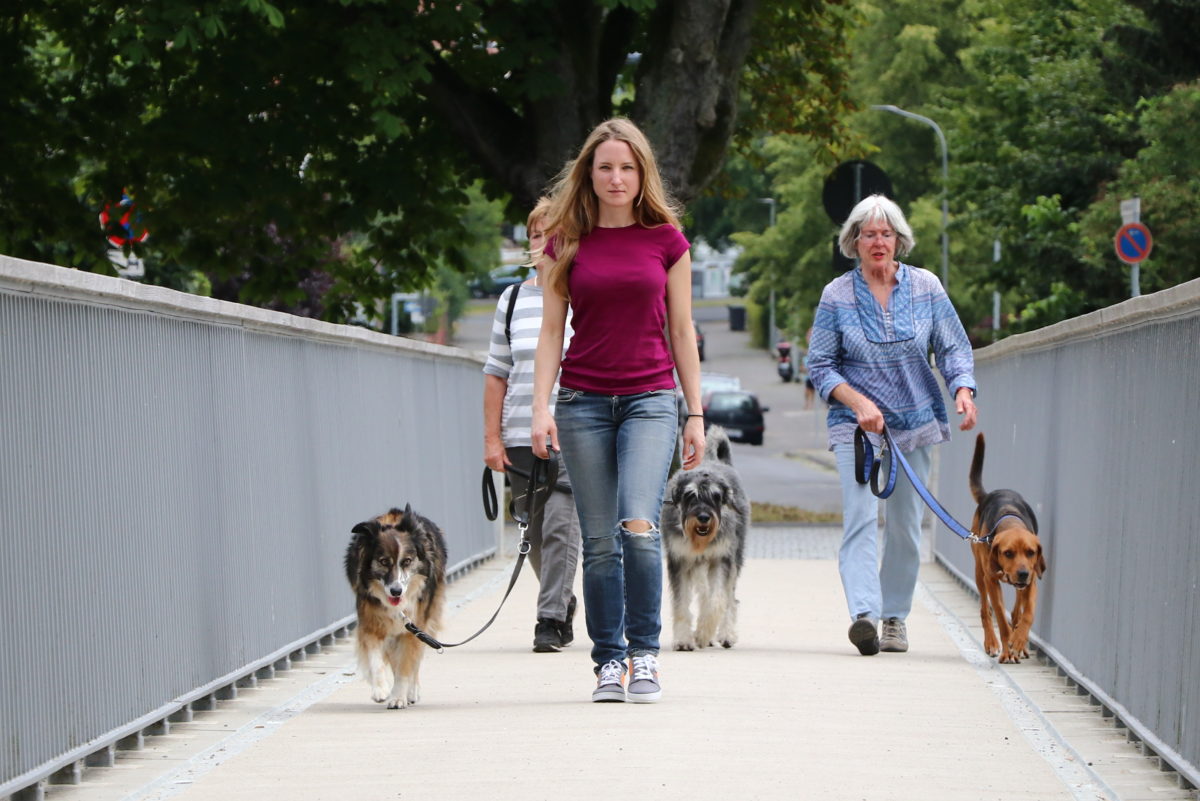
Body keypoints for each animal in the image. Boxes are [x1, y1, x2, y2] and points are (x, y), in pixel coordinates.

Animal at [662, 424, 744, 652]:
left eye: (716, 496)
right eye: (690, 495)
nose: (704, 517)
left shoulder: (722, 559)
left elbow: (717, 601)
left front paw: (702, 634)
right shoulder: (679, 561)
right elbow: (681, 603)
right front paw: (683, 640)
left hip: (734, 559)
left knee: (729, 599)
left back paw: (725, 635)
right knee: (704, 592)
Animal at [969, 431, 1046, 661]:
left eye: (1031, 552)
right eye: (1008, 553)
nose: (1022, 573)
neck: (1010, 519)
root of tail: (988, 495)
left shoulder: (1032, 581)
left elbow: (1027, 614)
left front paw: (1019, 641)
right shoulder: (992, 581)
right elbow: (1001, 619)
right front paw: (1007, 647)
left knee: (1016, 610)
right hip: (980, 573)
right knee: (986, 611)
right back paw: (992, 643)